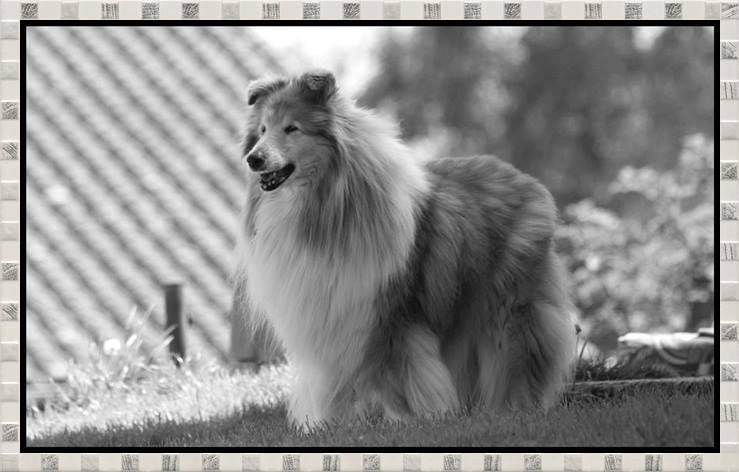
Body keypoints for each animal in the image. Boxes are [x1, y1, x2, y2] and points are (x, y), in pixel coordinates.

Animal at [233, 70, 580, 428]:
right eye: (262, 130)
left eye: (292, 128)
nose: (253, 159)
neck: (319, 202)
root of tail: (527, 180)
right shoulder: (333, 317)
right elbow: (335, 382)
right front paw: (332, 424)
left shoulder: (393, 318)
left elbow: (403, 374)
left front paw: (409, 419)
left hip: (510, 306)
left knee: (521, 354)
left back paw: (517, 405)